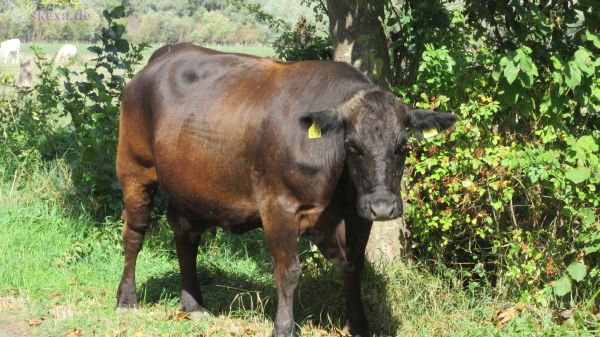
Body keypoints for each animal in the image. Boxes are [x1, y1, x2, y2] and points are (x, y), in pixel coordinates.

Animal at [115, 43, 458, 334]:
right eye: (353, 145)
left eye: (403, 146)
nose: (383, 206)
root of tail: (166, 54)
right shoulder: (278, 205)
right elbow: (288, 272)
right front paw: (283, 327)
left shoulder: (357, 214)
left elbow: (354, 268)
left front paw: (359, 326)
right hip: (135, 169)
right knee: (134, 233)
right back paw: (127, 299)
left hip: (189, 186)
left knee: (185, 236)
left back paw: (194, 305)